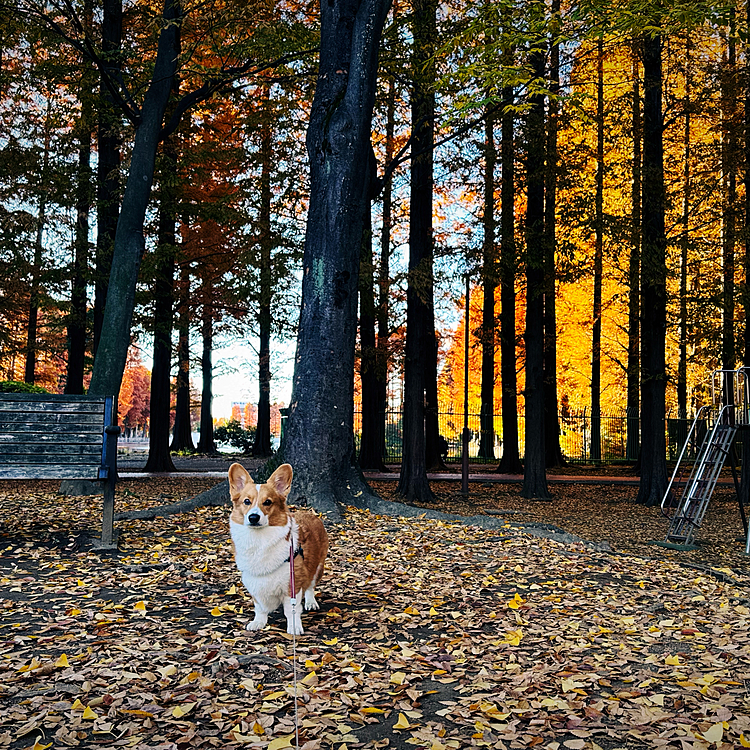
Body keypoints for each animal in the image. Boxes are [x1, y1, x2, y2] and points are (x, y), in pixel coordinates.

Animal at [226, 464, 326, 636]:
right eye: (247, 501)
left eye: (267, 502)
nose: (253, 517)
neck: (260, 540)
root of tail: (310, 513)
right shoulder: (253, 581)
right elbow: (259, 607)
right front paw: (258, 622)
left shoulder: (293, 584)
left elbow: (291, 610)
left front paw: (294, 627)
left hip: (318, 567)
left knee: (311, 586)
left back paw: (311, 602)